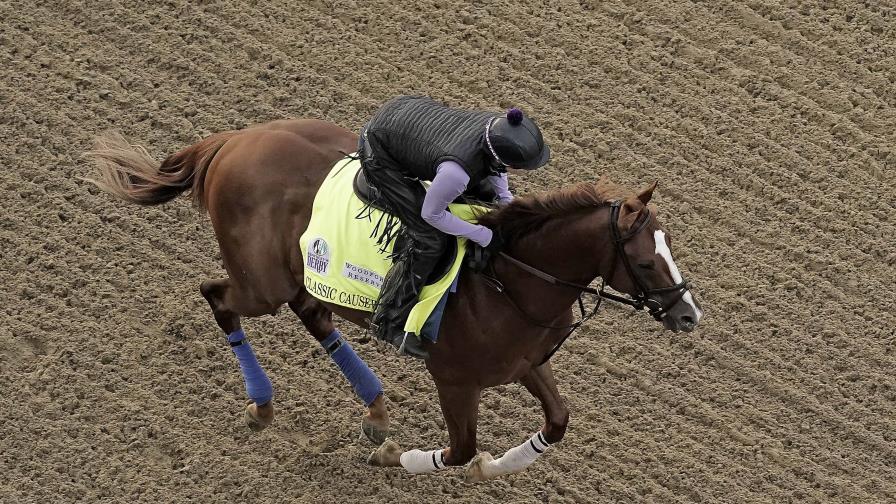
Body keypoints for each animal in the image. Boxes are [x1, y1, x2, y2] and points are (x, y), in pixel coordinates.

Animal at [86, 118, 700, 480]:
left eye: (670, 247)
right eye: (647, 262)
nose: (688, 314)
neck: (509, 278)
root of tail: (233, 140)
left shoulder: (526, 362)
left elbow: (557, 422)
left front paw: (493, 465)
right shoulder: (455, 379)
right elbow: (458, 449)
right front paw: (392, 458)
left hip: (296, 273)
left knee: (313, 313)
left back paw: (375, 409)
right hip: (262, 282)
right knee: (219, 297)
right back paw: (262, 404)